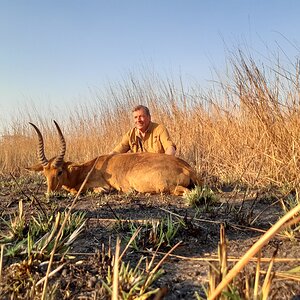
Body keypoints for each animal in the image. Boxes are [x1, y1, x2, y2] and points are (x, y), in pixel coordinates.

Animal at [25, 120, 199, 196]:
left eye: (59, 171)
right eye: (45, 173)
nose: (50, 193)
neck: (86, 169)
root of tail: (186, 168)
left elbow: (78, 190)